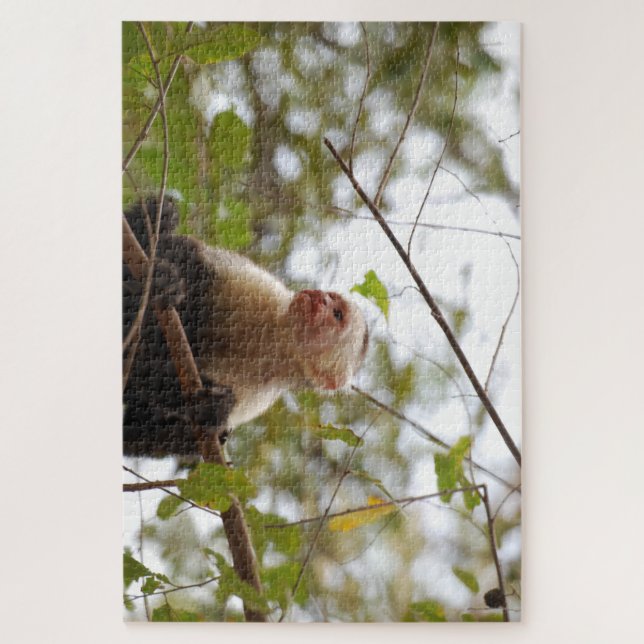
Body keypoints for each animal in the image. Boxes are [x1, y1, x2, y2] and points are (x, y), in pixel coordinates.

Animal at [123, 198, 369, 457]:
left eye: (337, 314)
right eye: (331, 299)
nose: (320, 297)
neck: (279, 342)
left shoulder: (263, 394)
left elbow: (165, 433)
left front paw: (215, 408)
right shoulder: (268, 292)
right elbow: (195, 258)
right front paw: (167, 279)